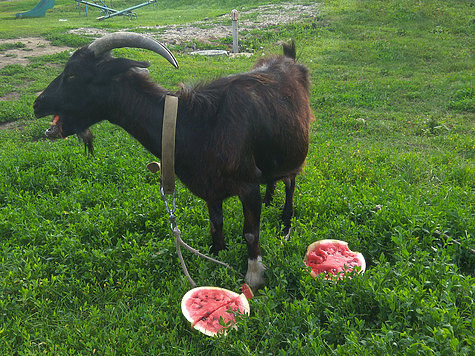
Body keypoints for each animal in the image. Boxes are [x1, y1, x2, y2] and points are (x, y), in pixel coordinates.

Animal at [35, 32, 314, 290]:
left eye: (72, 74)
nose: (37, 104)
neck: (197, 125)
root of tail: (289, 58)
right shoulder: (211, 188)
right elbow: (216, 225)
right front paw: (217, 258)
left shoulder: (247, 185)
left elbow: (250, 232)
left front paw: (254, 277)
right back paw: (270, 199)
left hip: (296, 151)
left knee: (291, 183)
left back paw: (285, 224)